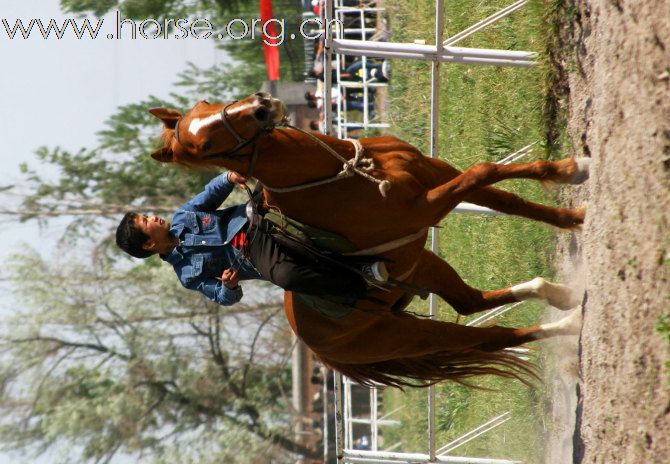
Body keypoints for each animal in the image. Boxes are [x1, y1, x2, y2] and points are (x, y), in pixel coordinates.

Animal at [148, 92, 588, 386]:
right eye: (204, 145)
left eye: (205, 104)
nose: (261, 106)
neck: (344, 174)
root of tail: (319, 351)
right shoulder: (429, 206)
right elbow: (483, 171)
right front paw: (576, 187)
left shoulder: (439, 173)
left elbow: (505, 191)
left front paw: (573, 185)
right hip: (405, 335)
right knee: (490, 337)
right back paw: (571, 321)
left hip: (421, 265)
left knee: (470, 301)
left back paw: (557, 293)